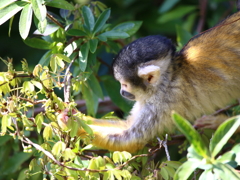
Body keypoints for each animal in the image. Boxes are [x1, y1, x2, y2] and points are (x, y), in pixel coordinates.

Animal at [60, 10, 240, 152]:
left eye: (124, 84)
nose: (121, 92)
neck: (168, 78)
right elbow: (125, 126)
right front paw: (72, 115)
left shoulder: (161, 103)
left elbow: (128, 138)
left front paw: (70, 123)